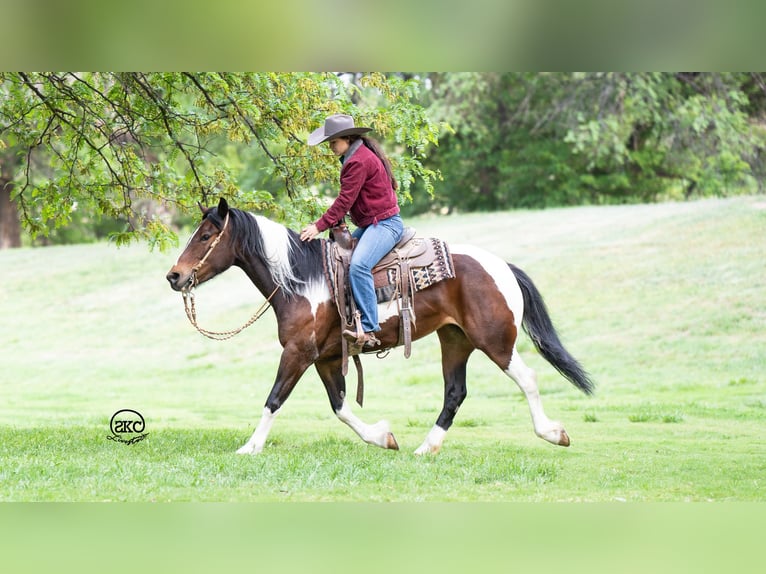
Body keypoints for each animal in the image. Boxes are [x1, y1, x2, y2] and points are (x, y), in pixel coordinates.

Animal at [168, 200, 596, 456]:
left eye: (205, 236)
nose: (174, 276)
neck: (301, 281)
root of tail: (503, 266)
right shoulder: (326, 359)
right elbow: (341, 407)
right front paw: (382, 436)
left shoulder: (298, 353)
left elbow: (274, 399)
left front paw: (250, 447)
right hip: (455, 340)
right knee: (455, 393)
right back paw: (426, 448)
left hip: (495, 341)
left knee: (527, 379)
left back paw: (553, 433)